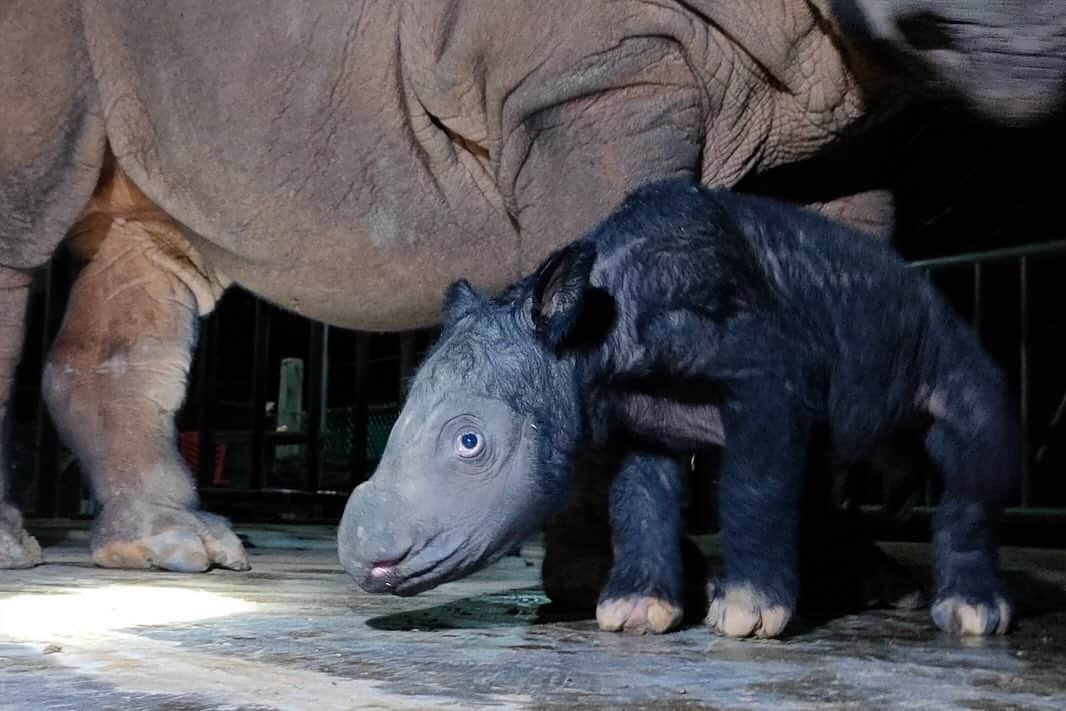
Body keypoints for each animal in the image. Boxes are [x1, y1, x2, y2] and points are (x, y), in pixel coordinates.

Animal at [0, 0, 1061, 571]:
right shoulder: (591, 77)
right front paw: (610, 580)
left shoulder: (845, 124)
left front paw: (836, 571)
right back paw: (30, 551)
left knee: (148, 247)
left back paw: (175, 547)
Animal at [338, 178, 1014, 639]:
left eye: (470, 442)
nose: (359, 552)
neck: (594, 326)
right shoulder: (635, 414)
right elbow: (639, 497)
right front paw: (635, 611)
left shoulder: (766, 373)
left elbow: (753, 481)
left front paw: (745, 614)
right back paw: (879, 591)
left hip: (943, 327)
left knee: (971, 433)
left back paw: (968, 614)